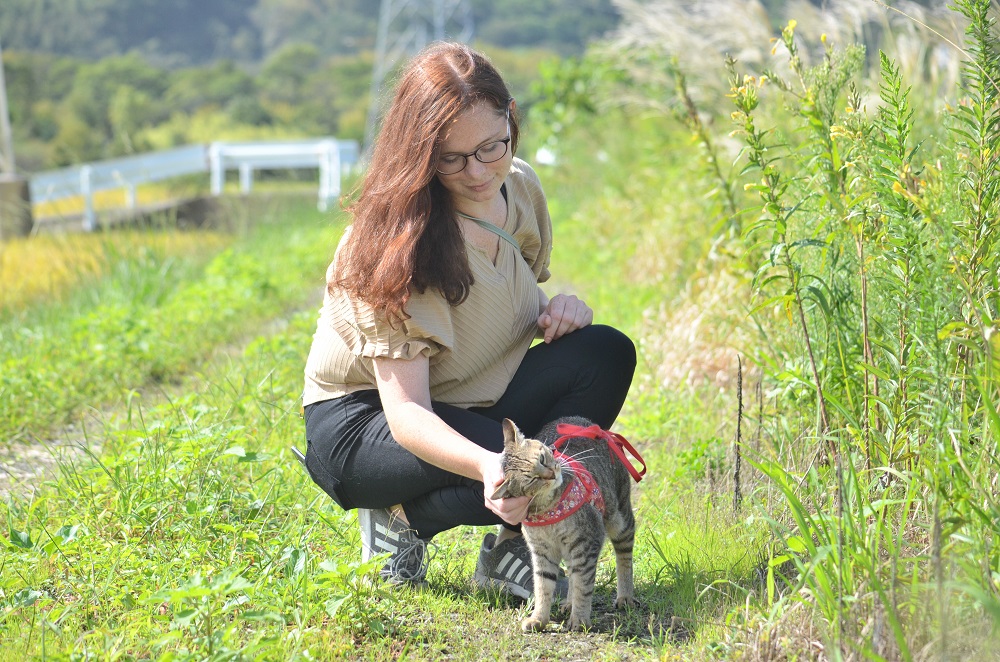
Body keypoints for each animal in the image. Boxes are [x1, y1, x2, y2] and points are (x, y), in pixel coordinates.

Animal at [492, 418, 640, 632]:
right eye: (533, 480)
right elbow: (543, 587)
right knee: (572, 571)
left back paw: (625, 596)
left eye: (542, 458)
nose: (552, 474)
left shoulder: (587, 543)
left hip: (619, 519)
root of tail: (586, 423)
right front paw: (539, 618)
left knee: (624, 556)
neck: (548, 508)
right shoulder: (542, 551)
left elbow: (583, 586)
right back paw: (569, 602)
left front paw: (579, 619)